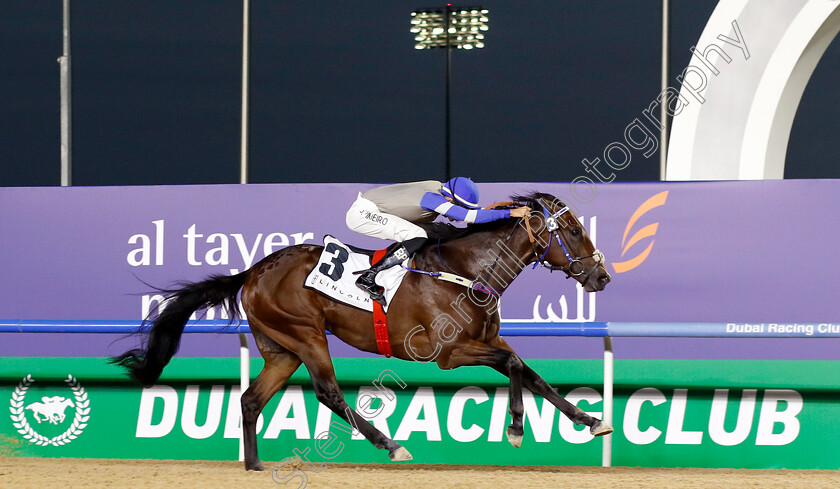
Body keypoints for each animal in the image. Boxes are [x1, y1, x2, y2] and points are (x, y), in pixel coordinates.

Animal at [113, 191, 612, 468]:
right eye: (572, 230)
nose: (602, 276)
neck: (466, 271)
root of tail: (254, 271)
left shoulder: (487, 339)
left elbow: (530, 372)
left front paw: (591, 421)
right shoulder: (450, 352)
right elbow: (513, 365)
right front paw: (515, 429)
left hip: (282, 347)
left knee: (252, 399)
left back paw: (254, 465)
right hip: (307, 334)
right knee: (328, 392)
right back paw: (391, 446)